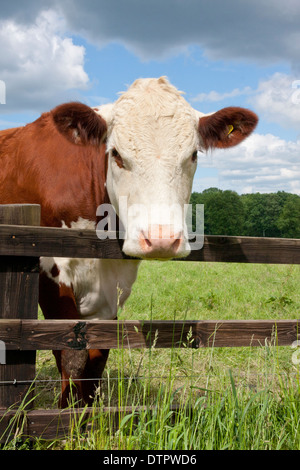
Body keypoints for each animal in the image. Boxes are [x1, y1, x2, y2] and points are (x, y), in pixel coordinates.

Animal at [0, 75, 258, 406]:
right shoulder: (49, 273)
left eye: (193, 155)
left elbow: (97, 357)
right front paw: (66, 417)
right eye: (117, 155)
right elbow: (71, 355)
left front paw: (87, 414)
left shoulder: (113, 288)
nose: (162, 239)